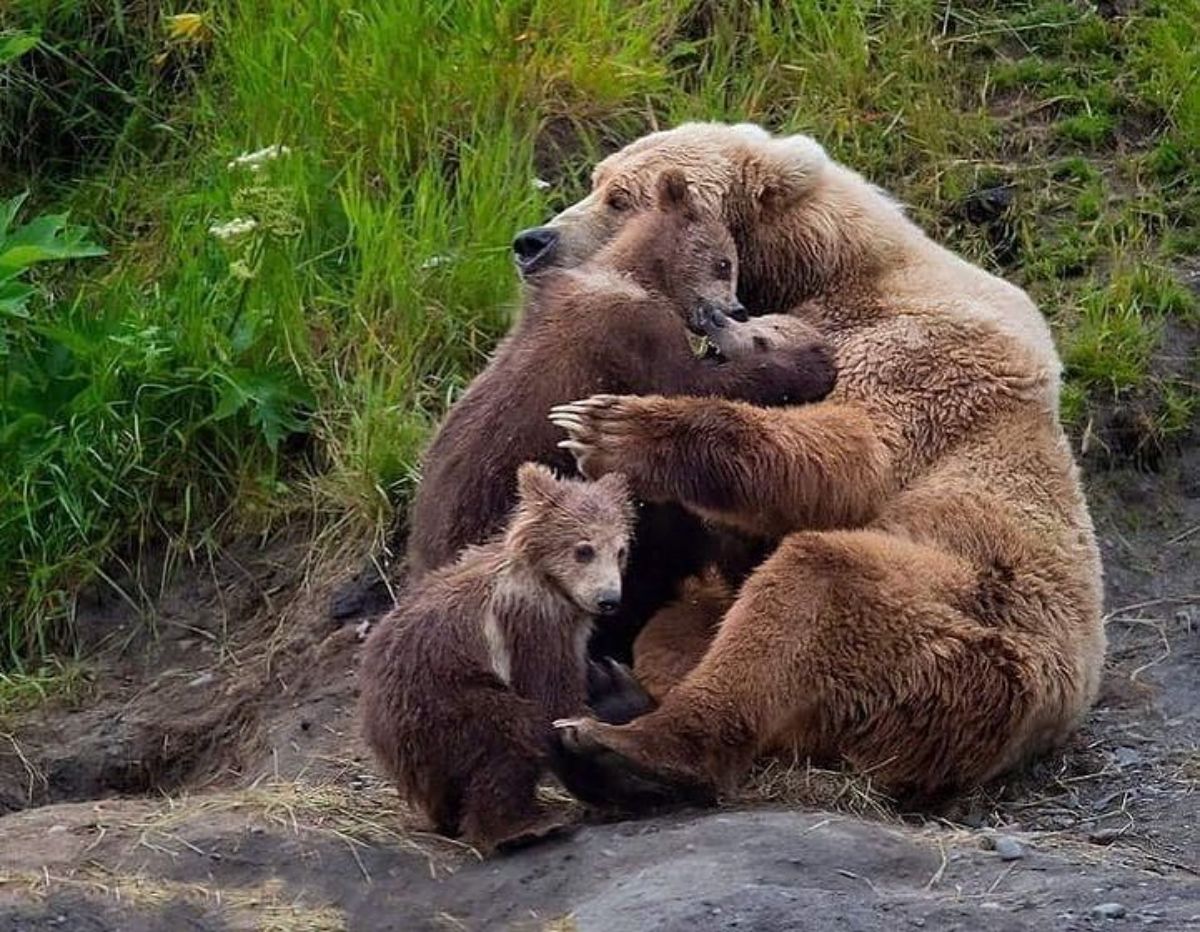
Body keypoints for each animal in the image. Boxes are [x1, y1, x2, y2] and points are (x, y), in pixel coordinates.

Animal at [516, 119, 1104, 796]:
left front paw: (611, 427)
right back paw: (615, 694)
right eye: (597, 180)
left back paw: (623, 746)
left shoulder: (921, 352)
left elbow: (851, 456)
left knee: (815, 588)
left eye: (620, 197)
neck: (822, 268)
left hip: (968, 627)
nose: (532, 242)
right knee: (681, 631)